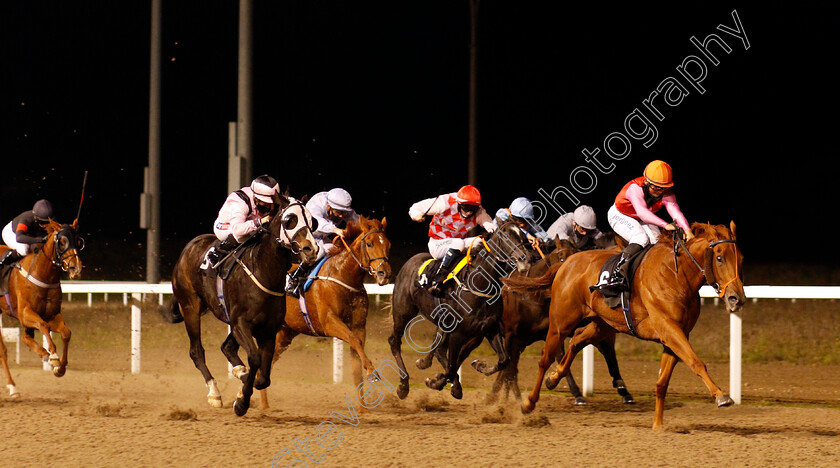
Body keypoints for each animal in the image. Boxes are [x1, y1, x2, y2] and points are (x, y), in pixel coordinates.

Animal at [0, 218, 84, 394]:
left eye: (78, 241)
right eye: (62, 242)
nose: (76, 268)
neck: (43, 274)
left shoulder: (52, 315)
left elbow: (66, 332)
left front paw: (60, 366)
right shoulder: (25, 314)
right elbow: (43, 326)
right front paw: (53, 357)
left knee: (25, 337)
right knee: (3, 350)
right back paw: (12, 386)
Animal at [162, 197, 320, 416]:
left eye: (312, 221)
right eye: (290, 219)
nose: (311, 249)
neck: (263, 272)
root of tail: (189, 247)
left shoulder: (267, 330)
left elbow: (264, 377)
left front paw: (243, 388)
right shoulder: (241, 324)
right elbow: (254, 359)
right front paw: (241, 402)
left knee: (226, 347)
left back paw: (239, 372)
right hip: (190, 307)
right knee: (196, 351)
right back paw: (215, 393)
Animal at [258, 217, 392, 410]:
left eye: (388, 244)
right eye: (369, 243)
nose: (384, 274)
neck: (343, 276)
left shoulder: (359, 325)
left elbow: (356, 356)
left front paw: (362, 407)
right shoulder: (329, 322)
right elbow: (353, 340)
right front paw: (372, 372)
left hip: (285, 333)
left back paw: (260, 402)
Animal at [388, 219, 532, 398]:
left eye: (522, 236)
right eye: (505, 236)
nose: (525, 260)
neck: (479, 285)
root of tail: (410, 262)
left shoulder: (489, 328)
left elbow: (503, 360)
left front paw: (479, 366)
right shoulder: (458, 333)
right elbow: (451, 367)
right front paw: (440, 382)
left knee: (439, 350)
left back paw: (425, 364)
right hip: (403, 311)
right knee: (395, 341)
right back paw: (403, 385)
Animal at [520, 221, 748, 430]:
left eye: (741, 258)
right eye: (719, 258)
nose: (737, 298)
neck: (676, 275)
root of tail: (567, 262)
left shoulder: (676, 334)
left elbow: (662, 382)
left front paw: (657, 425)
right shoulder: (669, 328)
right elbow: (696, 361)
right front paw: (721, 396)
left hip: (603, 324)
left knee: (577, 339)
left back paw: (554, 378)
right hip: (561, 322)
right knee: (545, 358)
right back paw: (529, 402)